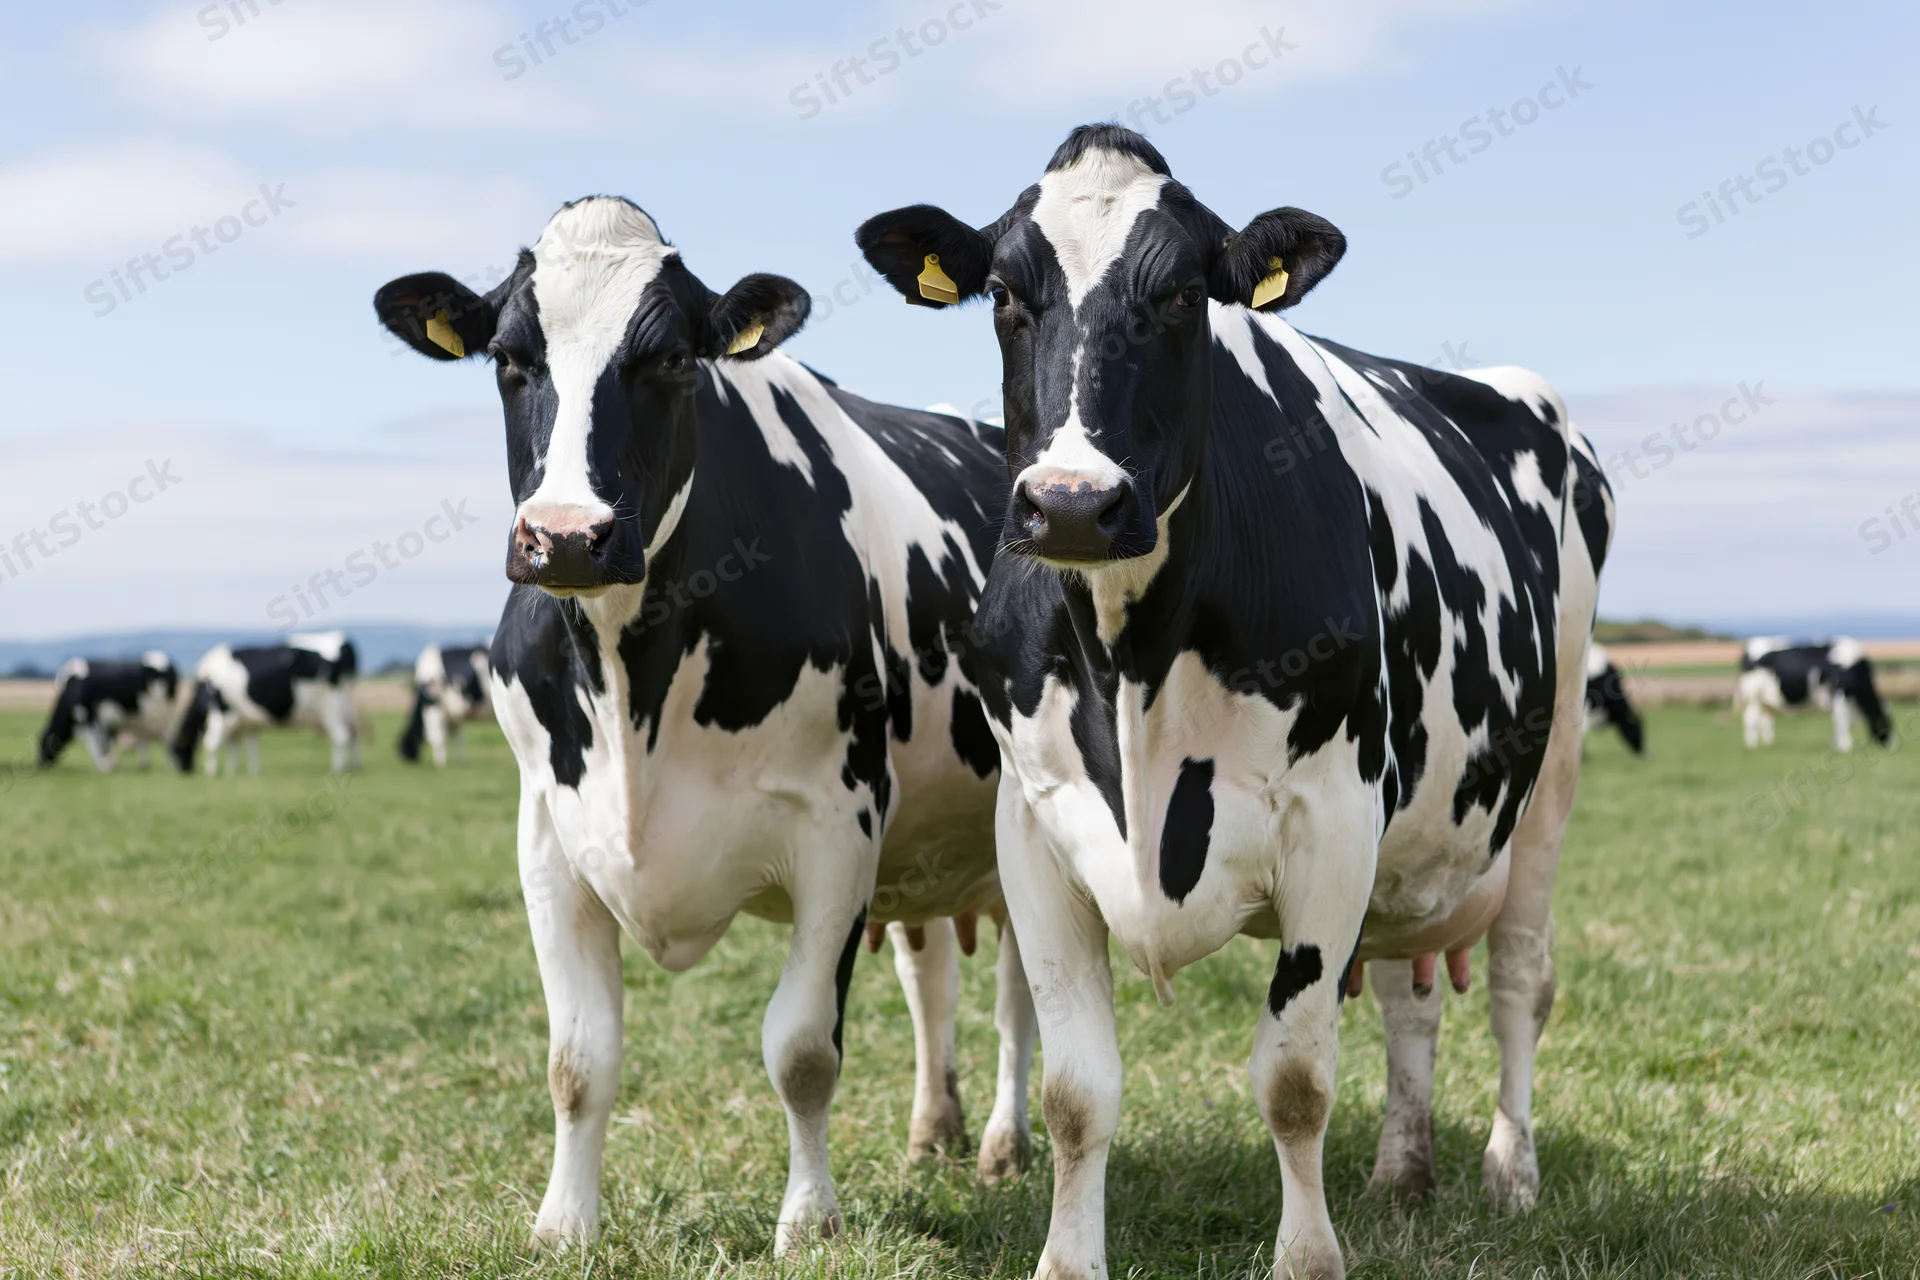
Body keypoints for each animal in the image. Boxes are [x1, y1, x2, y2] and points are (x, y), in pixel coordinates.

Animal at [37, 652, 177, 771]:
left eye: (43, 743)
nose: (40, 764)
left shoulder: (93, 718)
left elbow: (99, 743)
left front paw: (103, 766)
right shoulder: (104, 721)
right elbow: (106, 742)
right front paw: (109, 764)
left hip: (163, 715)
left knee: (169, 736)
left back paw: (171, 764)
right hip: (143, 719)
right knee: (144, 738)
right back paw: (144, 765)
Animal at [170, 631, 361, 775]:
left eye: (176, 752)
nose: (183, 771)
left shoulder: (223, 713)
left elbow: (211, 743)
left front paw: (212, 773)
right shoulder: (246, 721)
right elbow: (244, 747)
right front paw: (240, 773)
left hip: (331, 707)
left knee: (341, 736)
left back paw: (338, 769)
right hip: (346, 705)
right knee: (353, 734)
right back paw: (354, 767)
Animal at [372, 195, 1036, 1251]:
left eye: (675, 359)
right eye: (509, 357)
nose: (567, 536)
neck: (628, 679)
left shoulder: (839, 826)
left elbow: (802, 1049)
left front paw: (808, 1224)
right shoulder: (547, 837)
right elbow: (577, 1061)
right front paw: (562, 1225)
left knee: (1018, 1003)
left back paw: (1003, 1146)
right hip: (925, 841)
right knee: (930, 975)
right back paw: (933, 1129)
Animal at [855, 124, 1616, 1280]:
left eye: (1181, 295)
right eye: (1002, 292)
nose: (1071, 503)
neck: (1131, 660)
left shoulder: (1334, 821)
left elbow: (1295, 1080)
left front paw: (1307, 1258)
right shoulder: (1033, 829)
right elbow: (1076, 1091)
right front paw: (1067, 1259)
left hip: (1551, 773)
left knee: (1522, 981)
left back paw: (1508, 1172)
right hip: (1418, 840)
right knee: (1410, 989)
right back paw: (1404, 1170)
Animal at [1737, 637, 1891, 751]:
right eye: (1886, 723)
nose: (1891, 745)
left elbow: (1836, 720)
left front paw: (1837, 744)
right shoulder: (1838, 694)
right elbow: (1842, 720)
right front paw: (1846, 746)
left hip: (1766, 701)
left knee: (1765, 720)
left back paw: (1768, 744)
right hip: (1754, 696)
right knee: (1750, 718)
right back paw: (1752, 746)